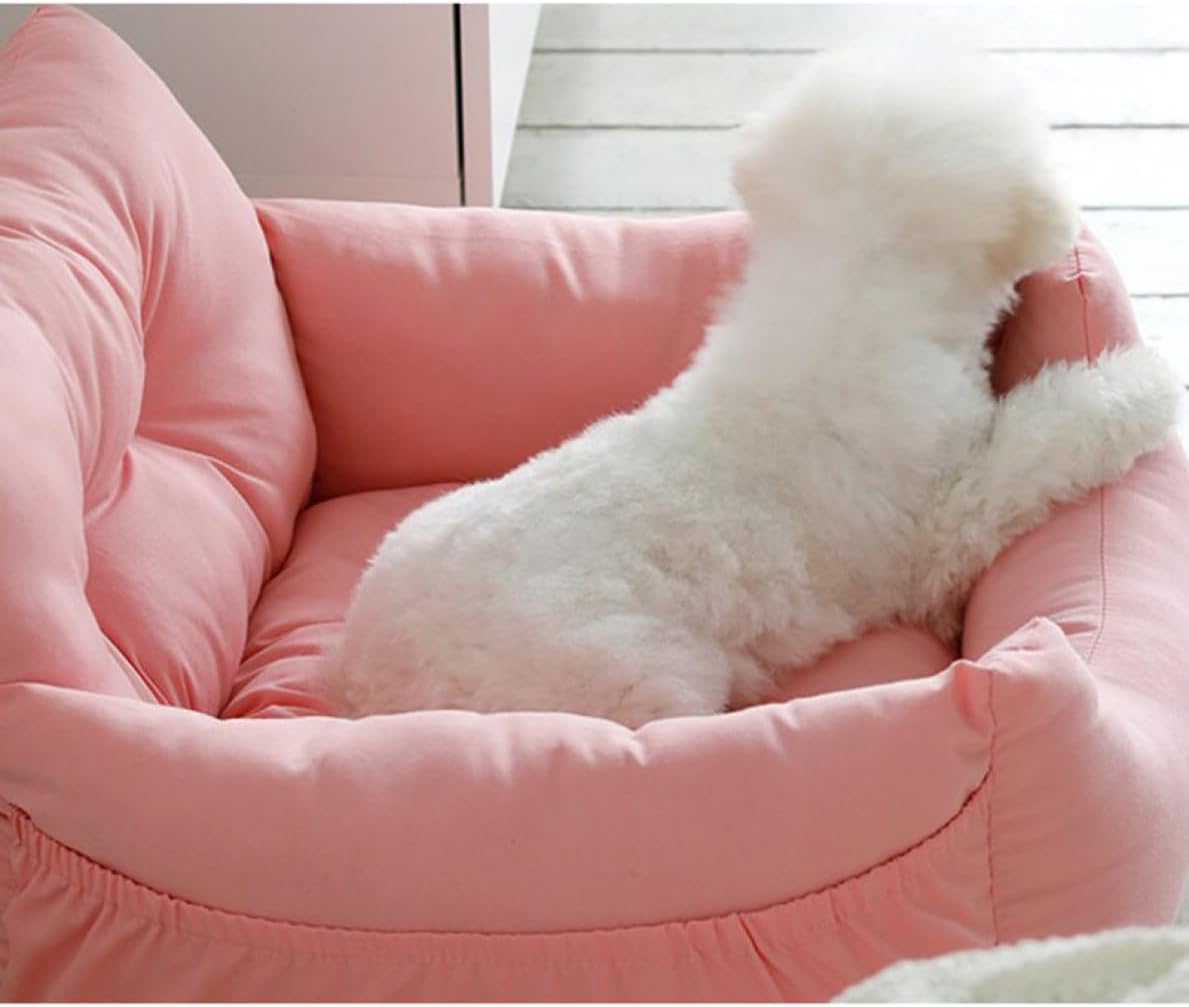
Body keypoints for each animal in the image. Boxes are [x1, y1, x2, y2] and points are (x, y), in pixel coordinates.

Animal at [331, 43, 1181, 728]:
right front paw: (1147, 376)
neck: (848, 282)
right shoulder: (944, 521)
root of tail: (371, 685)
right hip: (640, 672)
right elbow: (1047, 435)